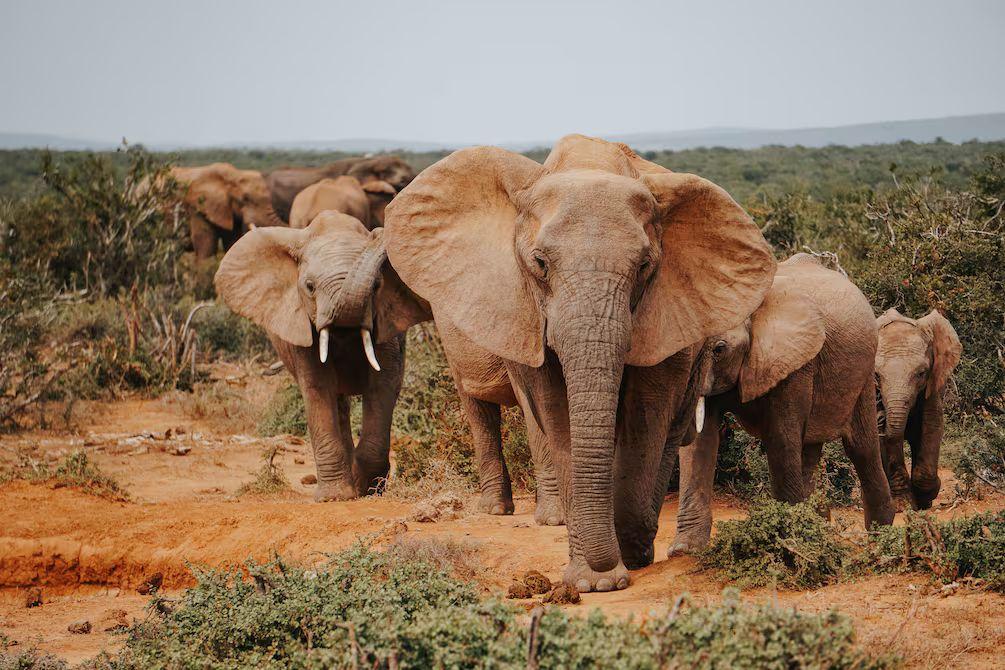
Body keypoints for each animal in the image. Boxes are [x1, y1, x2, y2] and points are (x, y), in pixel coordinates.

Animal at [215, 212, 430, 501]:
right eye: (310, 286)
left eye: (377, 285)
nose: (379, 233)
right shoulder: (301, 327)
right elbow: (318, 387)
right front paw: (335, 497)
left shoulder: (386, 323)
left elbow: (383, 383)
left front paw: (366, 489)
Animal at [384, 134, 775, 591]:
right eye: (539, 263)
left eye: (645, 266)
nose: (612, 568)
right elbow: (555, 414)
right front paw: (591, 580)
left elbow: (648, 410)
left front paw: (623, 559)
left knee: (673, 426)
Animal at [670, 254, 897, 556]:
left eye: (719, 349)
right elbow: (700, 442)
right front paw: (684, 550)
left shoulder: (794, 363)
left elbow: (780, 438)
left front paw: (786, 544)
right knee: (809, 450)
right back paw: (818, 527)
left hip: (864, 372)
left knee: (860, 447)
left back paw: (880, 535)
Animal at [875, 308, 962, 510]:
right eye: (876, 376)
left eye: (921, 374)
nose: (882, 419)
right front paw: (903, 505)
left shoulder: (933, 383)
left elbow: (932, 424)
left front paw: (927, 496)